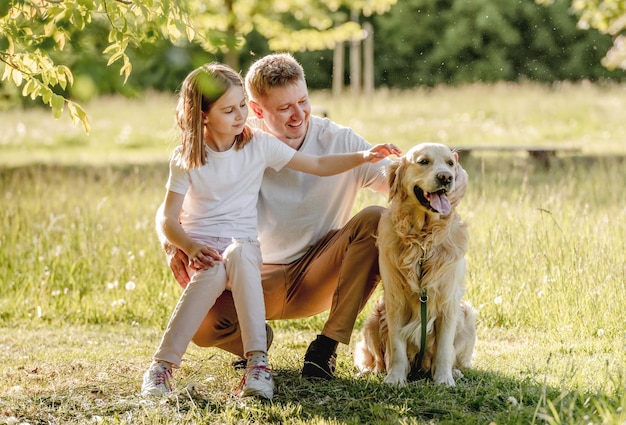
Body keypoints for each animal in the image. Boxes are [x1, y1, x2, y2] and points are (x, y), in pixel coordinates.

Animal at [354, 142, 476, 384]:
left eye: (450, 163)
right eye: (423, 162)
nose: (446, 177)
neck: (422, 239)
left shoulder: (448, 300)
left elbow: (444, 348)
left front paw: (444, 379)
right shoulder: (395, 298)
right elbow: (396, 346)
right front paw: (395, 379)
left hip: (467, 315)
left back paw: (455, 372)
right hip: (373, 320)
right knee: (377, 358)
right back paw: (373, 371)